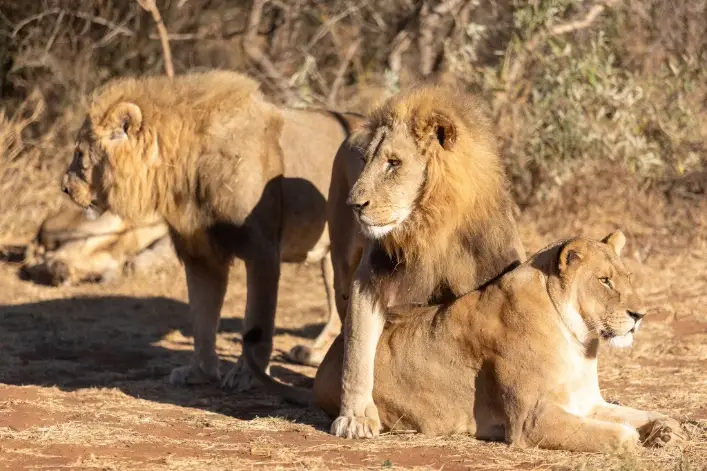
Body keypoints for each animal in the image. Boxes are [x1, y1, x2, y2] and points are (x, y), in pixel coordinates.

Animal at [61, 70, 363, 389]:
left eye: (79, 154)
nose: (64, 188)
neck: (182, 170)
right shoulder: (201, 255)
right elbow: (202, 318)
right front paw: (199, 372)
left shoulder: (262, 252)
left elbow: (257, 319)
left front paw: (247, 375)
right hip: (331, 254)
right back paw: (316, 353)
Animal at [246, 231, 685, 452]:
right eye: (605, 281)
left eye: (626, 277)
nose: (640, 315)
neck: (581, 342)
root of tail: (325, 366)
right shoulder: (532, 421)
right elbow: (613, 433)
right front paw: (635, 440)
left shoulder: (586, 402)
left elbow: (630, 412)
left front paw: (666, 428)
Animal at [301, 85, 526, 438]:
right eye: (365, 161)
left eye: (394, 163)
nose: (355, 204)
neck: (430, 227)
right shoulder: (368, 281)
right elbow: (357, 352)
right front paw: (356, 418)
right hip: (340, 266)